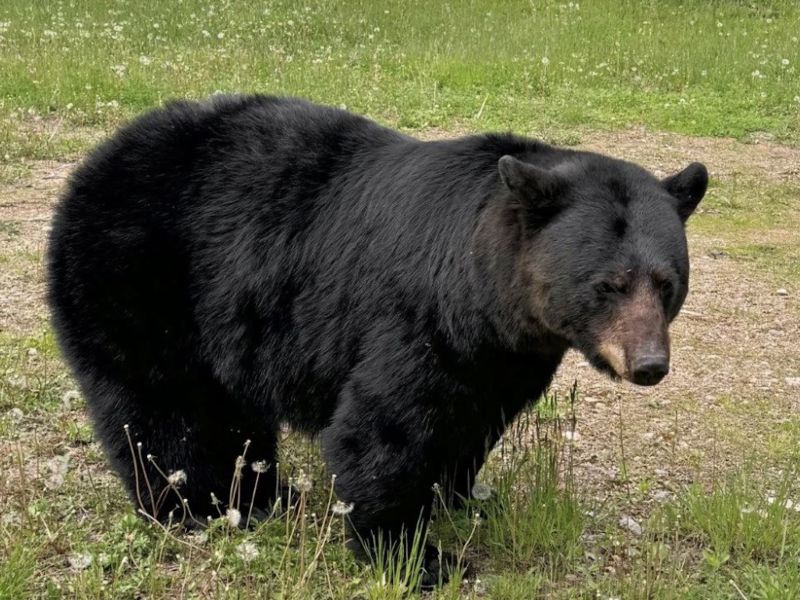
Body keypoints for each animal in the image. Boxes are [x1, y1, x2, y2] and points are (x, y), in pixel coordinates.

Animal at [47, 94, 707, 584]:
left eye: (667, 283)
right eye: (608, 285)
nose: (649, 364)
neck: (488, 292)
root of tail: (99, 156)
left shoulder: (502, 356)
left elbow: (473, 419)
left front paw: (461, 495)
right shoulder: (416, 319)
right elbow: (385, 428)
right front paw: (418, 555)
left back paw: (263, 492)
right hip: (140, 276)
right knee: (168, 408)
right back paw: (205, 504)